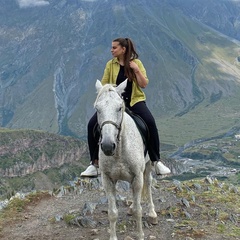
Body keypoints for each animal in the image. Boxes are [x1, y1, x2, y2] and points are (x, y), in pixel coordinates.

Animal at [94, 79, 158, 240]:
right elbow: (112, 213)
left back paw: (152, 213)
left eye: (119, 108)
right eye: (97, 109)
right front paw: (113, 236)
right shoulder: (108, 180)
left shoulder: (137, 176)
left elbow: (139, 211)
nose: (107, 145)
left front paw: (140, 235)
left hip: (147, 166)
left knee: (148, 184)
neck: (119, 152)